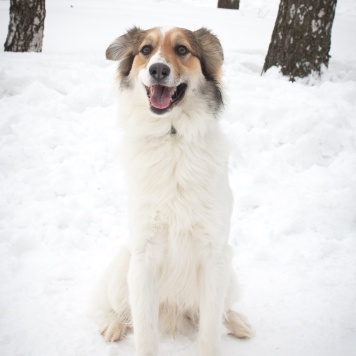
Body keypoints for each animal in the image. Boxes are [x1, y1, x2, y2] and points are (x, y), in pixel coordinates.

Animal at [93, 26, 252, 354]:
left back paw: (237, 321)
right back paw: (114, 324)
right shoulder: (144, 256)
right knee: (117, 309)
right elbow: (145, 334)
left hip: (229, 273)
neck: (172, 137)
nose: (158, 69)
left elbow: (210, 332)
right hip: (122, 269)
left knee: (222, 311)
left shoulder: (214, 254)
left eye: (181, 50)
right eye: (145, 50)